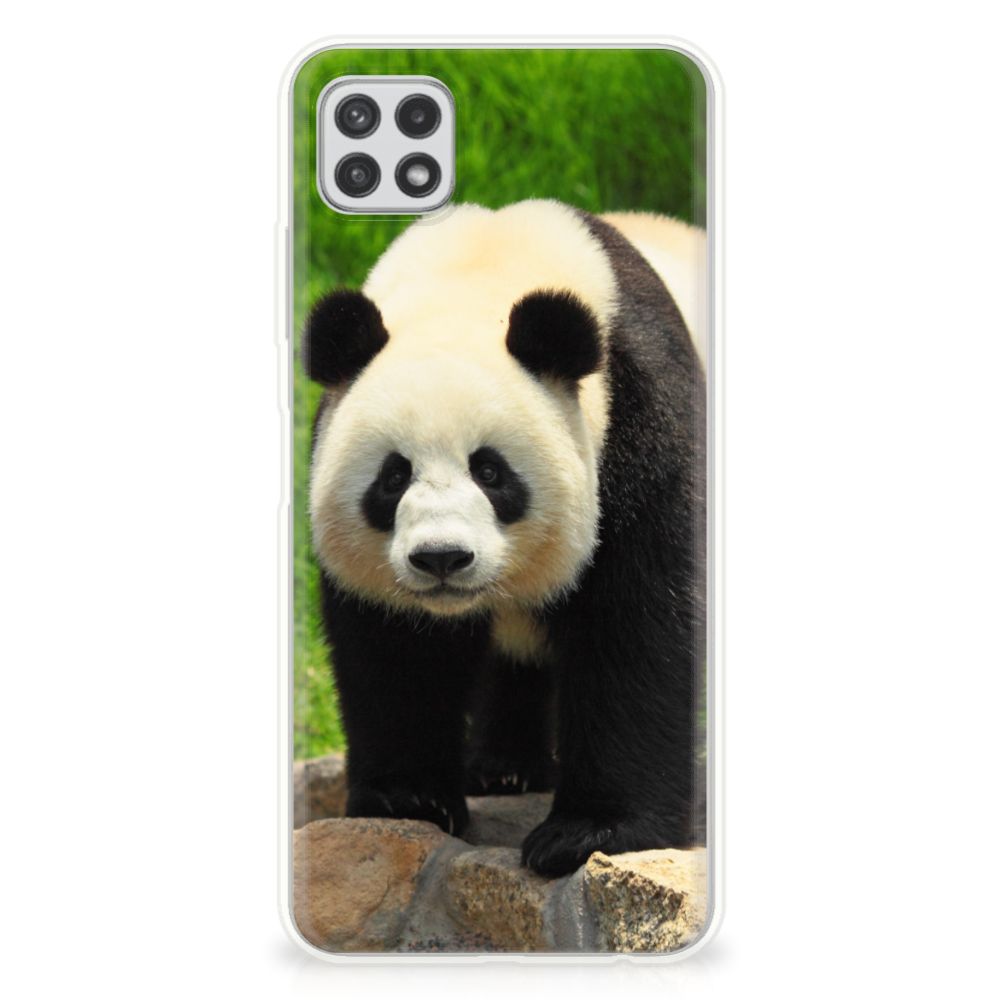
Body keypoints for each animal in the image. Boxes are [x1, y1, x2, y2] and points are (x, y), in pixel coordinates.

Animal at [304, 200, 706, 877]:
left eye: (490, 472)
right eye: (393, 476)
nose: (441, 558)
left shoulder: (641, 422)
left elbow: (636, 625)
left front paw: (588, 832)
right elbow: (395, 650)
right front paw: (408, 799)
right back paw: (504, 769)